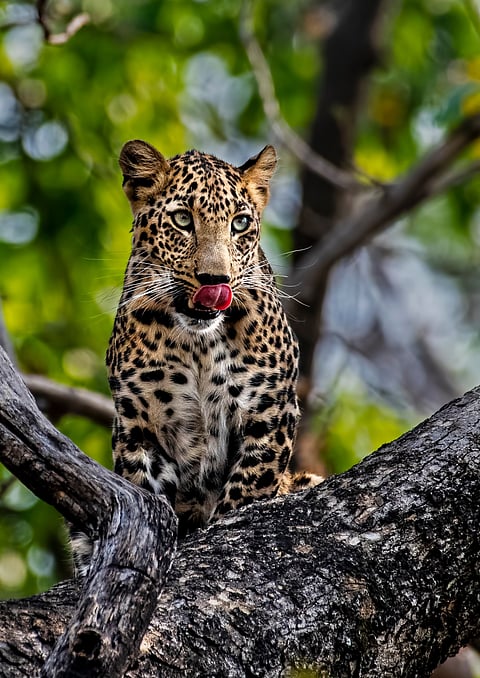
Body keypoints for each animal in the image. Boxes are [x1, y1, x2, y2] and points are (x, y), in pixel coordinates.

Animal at [71, 139, 322, 574]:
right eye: (182, 219)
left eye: (240, 224)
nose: (215, 280)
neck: (198, 344)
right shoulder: (138, 426)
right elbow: (145, 490)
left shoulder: (270, 409)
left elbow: (248, 488)